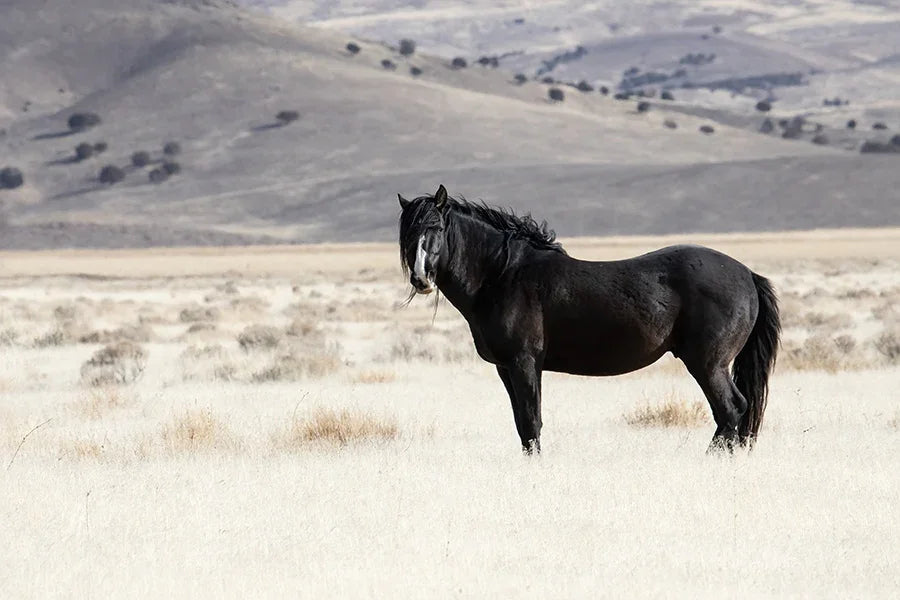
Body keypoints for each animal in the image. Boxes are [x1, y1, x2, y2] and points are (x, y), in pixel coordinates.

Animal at [397, 185, 780, 454]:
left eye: (436, 227)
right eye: (407, 234)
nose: (421, 279)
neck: (503, 276)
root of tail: (747, 274)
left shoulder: (524, 362)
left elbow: (532, 422)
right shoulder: (505, 367)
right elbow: (522, 424)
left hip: (708, 364)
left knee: (731, 410)